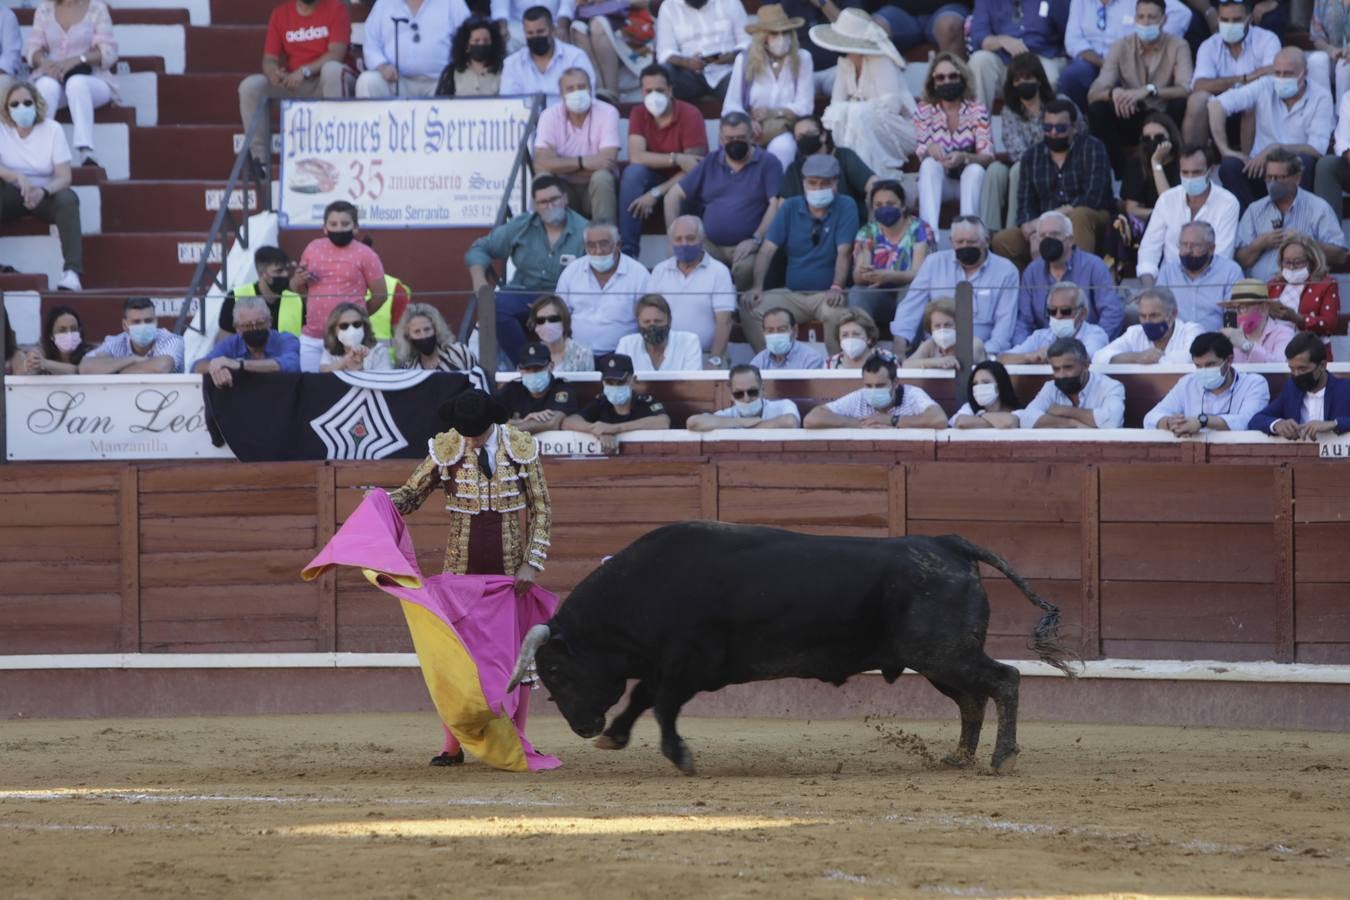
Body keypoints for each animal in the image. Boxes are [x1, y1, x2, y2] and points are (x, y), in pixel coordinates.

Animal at [507, 520, 1074, 777]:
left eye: (556, 671)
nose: (584, 727)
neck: (643, 587)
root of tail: (947, 543)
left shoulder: (687, 664)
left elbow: (662, 706)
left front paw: (680, 756)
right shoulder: (665, 664)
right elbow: (643, 698)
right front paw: (617, 737)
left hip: (943, 654)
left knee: (1004, 680)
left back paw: (1001, 758)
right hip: (939, 661)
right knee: (973, 699)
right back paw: (958, 757)